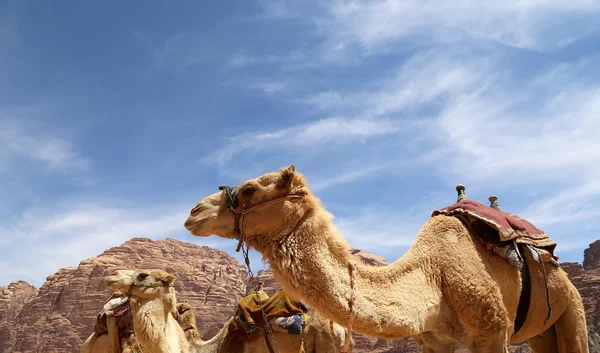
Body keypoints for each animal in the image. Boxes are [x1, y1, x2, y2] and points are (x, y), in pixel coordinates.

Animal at [185, 165, 588, 352]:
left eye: (250, 189)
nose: (194, 211)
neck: (433, 274)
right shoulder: (433, 339)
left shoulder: (493, 333)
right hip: (544, 329)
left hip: (572, 307)